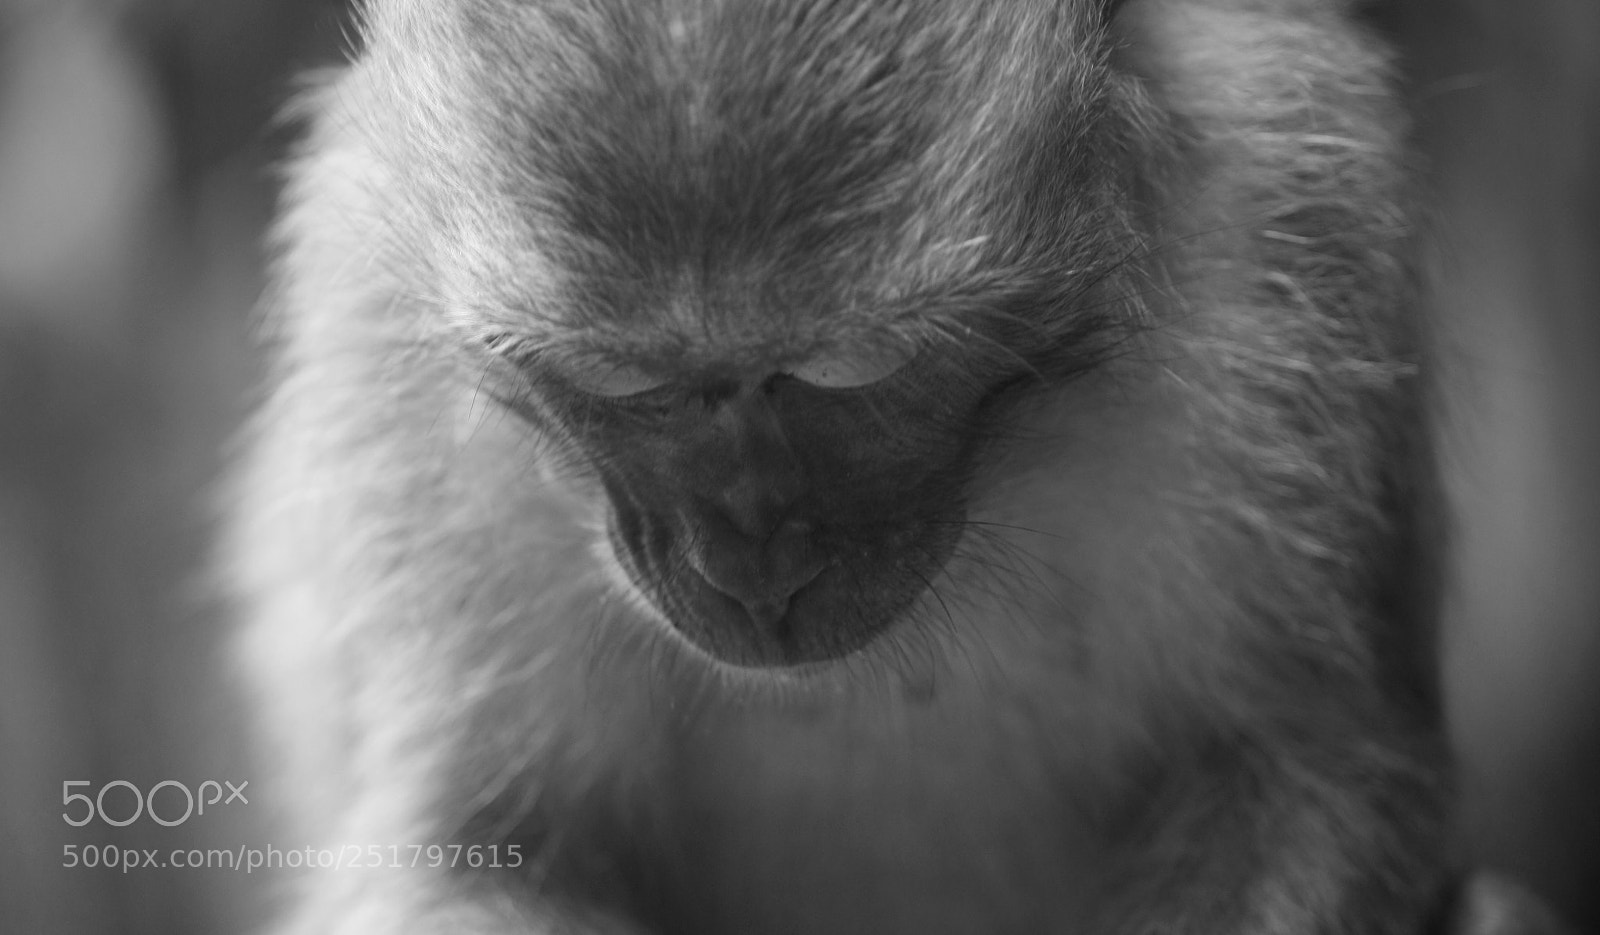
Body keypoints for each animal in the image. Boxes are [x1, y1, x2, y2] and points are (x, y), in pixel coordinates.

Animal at [222, 0, 1550, 932]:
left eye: (849, 373)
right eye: (628, 388)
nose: (751, 559)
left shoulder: (1298, 201)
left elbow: (1315, 768)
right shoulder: (366, 309)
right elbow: (477, 849)